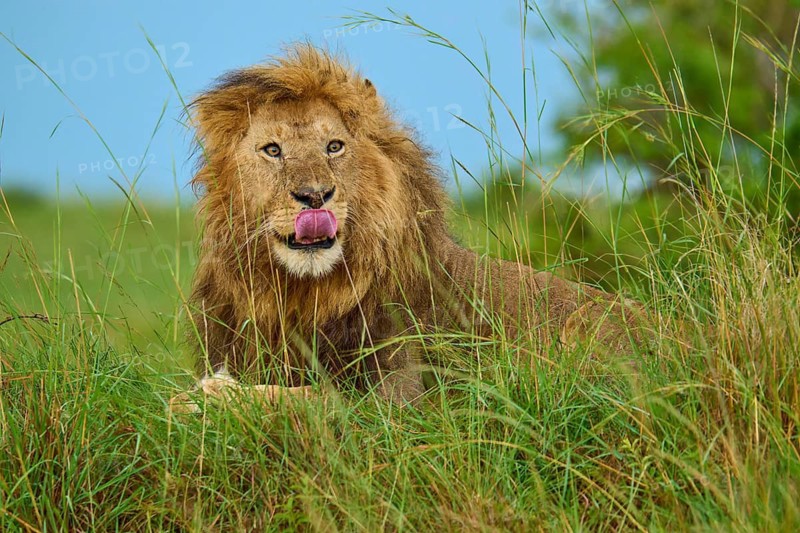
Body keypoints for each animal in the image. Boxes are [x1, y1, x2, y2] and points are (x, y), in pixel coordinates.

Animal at [170, 45, 650, 412]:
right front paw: (196, 395)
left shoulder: (400, 397)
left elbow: (316, 396)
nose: (314, 196)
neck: (302, 294)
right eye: (272, 150)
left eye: (334, 146)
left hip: (592, 324)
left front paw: (214, 394)